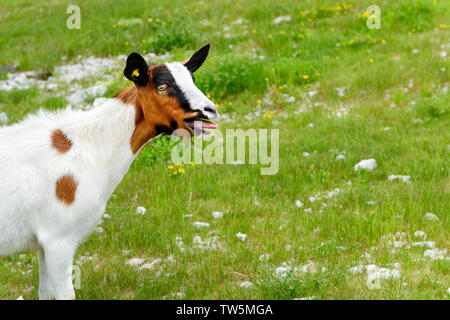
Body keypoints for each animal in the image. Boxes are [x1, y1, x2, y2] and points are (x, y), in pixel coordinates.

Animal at [0, 43, 220, 298]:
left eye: (192, 79)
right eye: (162, 86)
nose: (210, 111)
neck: (87, 146)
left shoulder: (44, 243)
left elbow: (45, 292)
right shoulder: (58, 237)